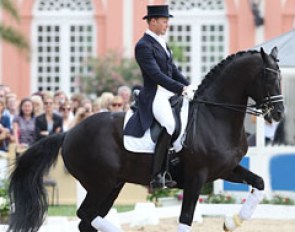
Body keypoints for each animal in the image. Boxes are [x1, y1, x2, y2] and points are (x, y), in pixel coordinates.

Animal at [7, 47, 284, 232]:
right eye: (269, 77)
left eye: (280, 77)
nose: (279, 114)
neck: (214, 115)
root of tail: (68, 133)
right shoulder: (196, 177)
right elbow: (185, 219)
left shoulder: (225, 169)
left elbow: (259, 183)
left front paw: (232, 221)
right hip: (100, 183)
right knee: (85, 214)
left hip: (112, 185)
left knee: (87, 220)